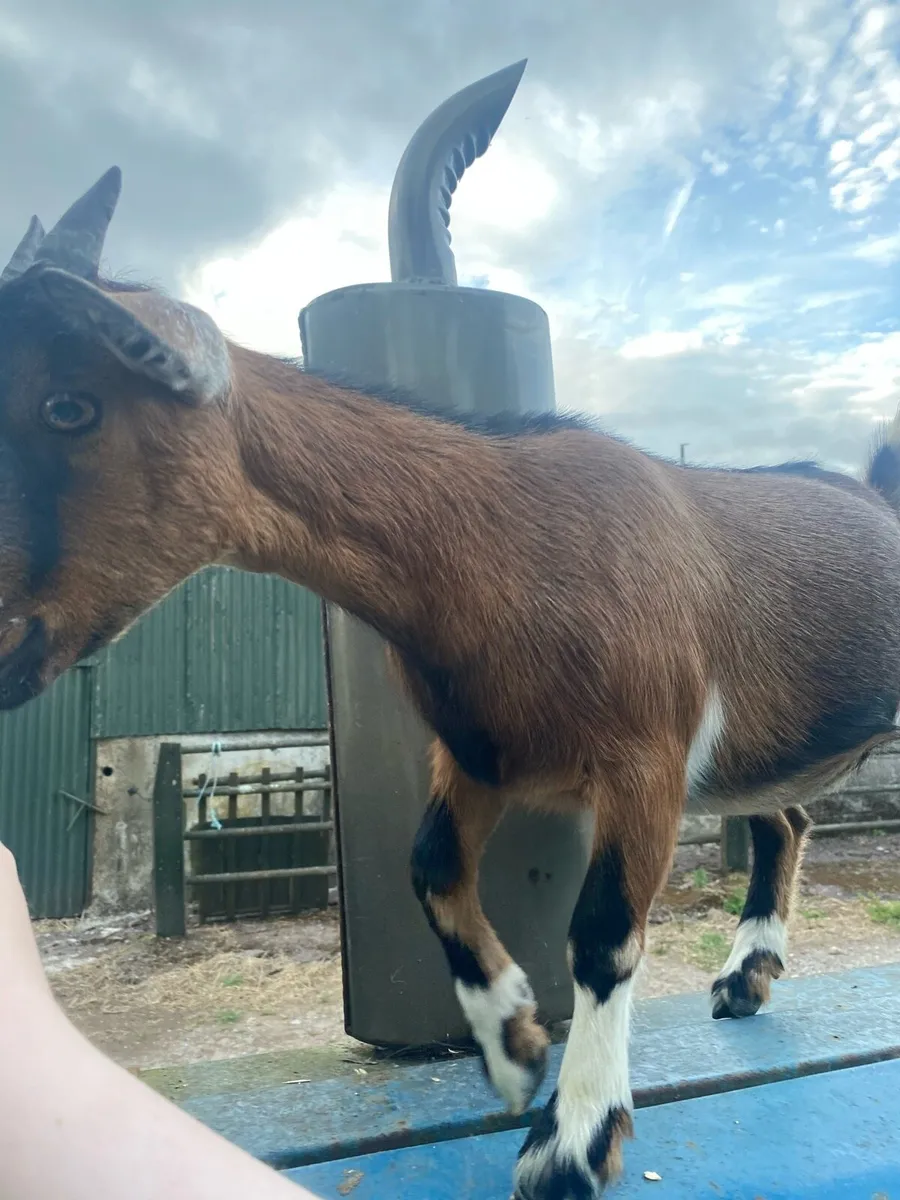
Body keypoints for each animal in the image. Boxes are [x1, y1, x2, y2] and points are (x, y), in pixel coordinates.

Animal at [3, 168, 900, 1200]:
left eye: (70, 405)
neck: (502, 546)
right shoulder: (478, 749)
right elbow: (429, 865)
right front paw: (512, 1040)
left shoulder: (645, 756)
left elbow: (603, 934)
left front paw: (572, 1141)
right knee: (784, 818)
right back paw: (746, 977)